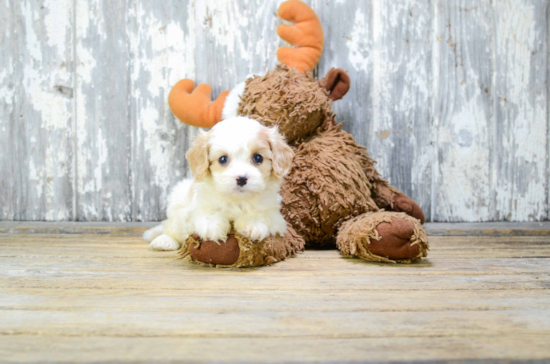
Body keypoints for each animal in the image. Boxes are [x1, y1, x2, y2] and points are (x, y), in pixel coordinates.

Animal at [144, 116, 296, 250]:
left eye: (258, 158)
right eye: (223, 159)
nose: (241, 178)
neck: (236, 200)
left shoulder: (275, 216)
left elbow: (260, 213)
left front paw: (253, 223)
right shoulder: (196, 205)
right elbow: (205, 212)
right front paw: (212, 226)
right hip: (177, 203)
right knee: (170, 227)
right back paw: (164, 241)